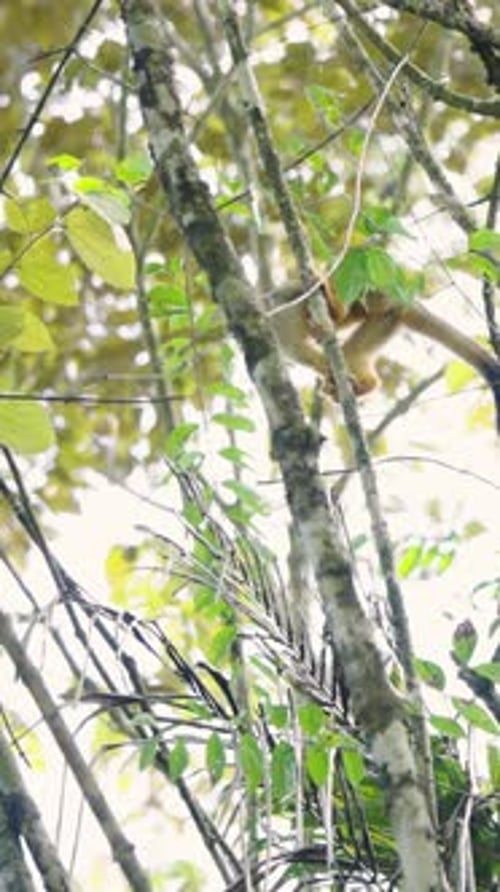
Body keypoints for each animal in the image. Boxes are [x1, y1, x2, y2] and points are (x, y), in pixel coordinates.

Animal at [269, 281, 500, 431]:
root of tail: (403, 298)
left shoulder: (282, 301)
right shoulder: (285, 341)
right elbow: (306, 355)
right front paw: (330, 378)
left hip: (376, 294)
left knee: (352, 302)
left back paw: (334, 308)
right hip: (387, 319)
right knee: (352, 349)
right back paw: (363, 383)